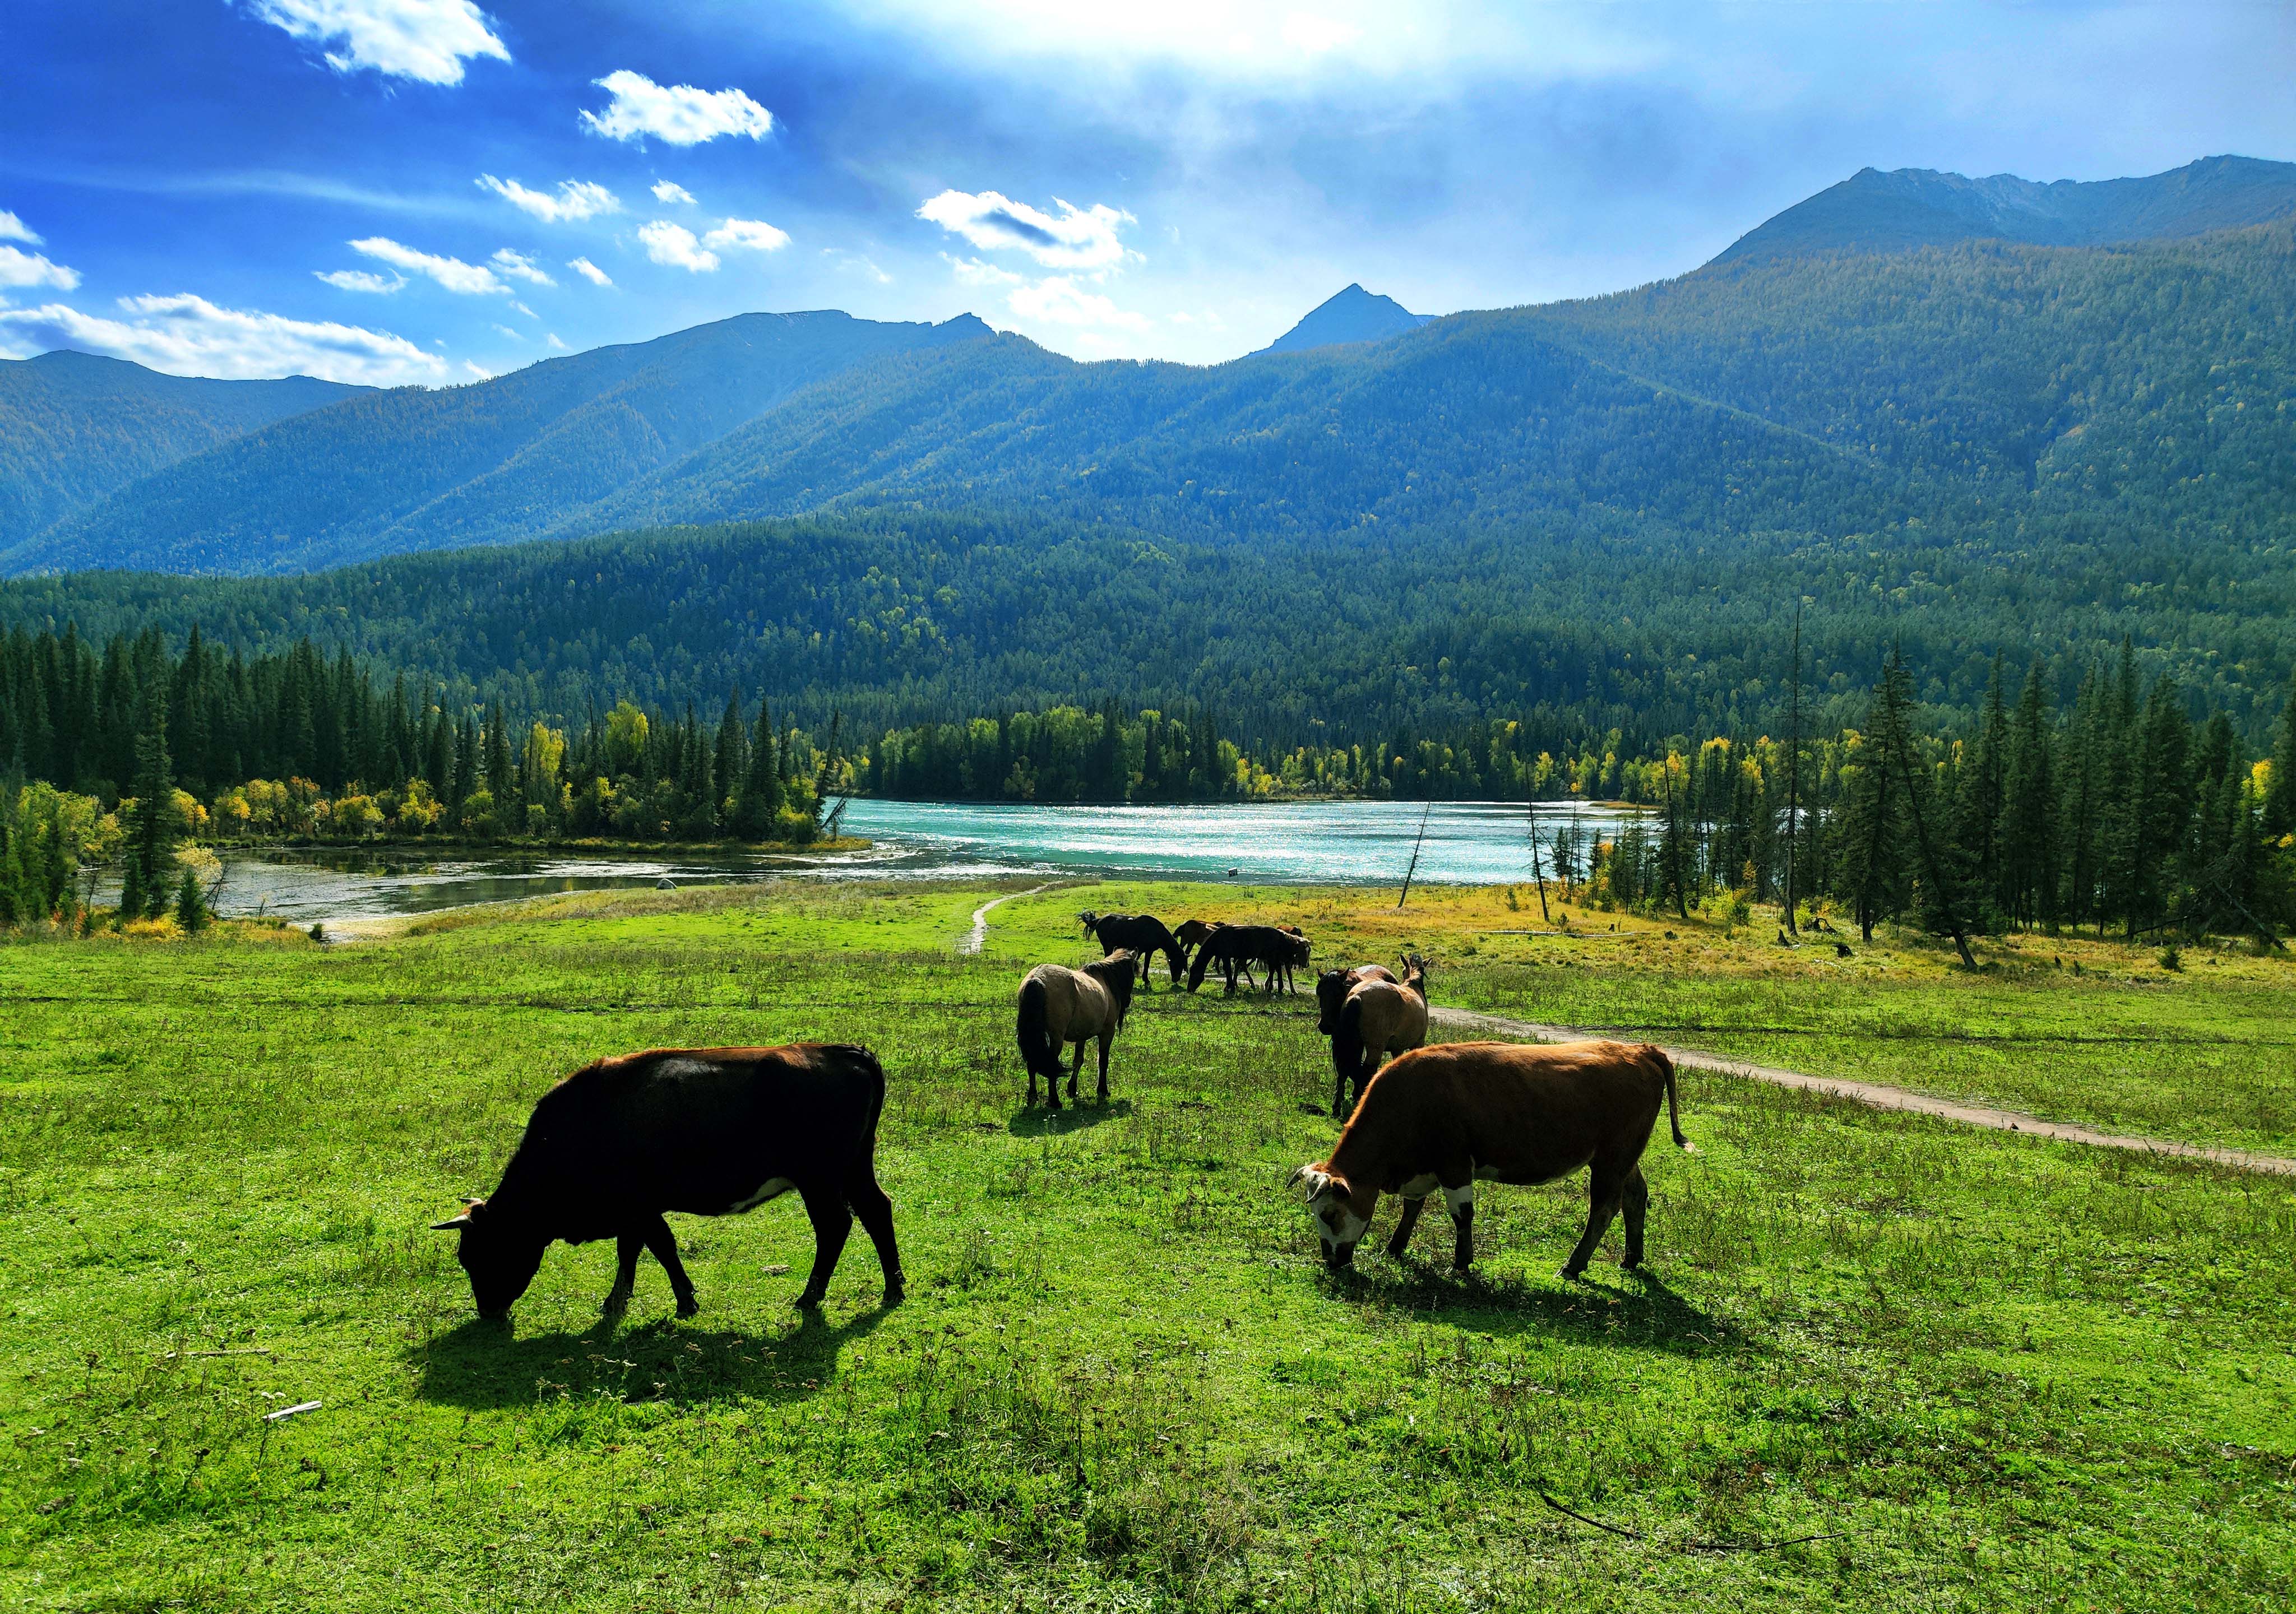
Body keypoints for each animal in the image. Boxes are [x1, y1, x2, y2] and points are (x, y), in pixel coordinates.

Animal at [432, 1047, 904, 1322]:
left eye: (479, 1254)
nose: (488, 1311)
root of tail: (845, 1053)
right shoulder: (633, 1212)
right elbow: (632, 1251)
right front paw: (618, 1301)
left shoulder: (640, 1207)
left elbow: (659, 1248)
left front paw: (684, 1301)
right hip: (855, 1170)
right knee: (877, 1210)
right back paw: (893, 1288)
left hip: (819, 1180)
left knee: (835, 1226)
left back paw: (810, 1296)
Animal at [1019, 945, 1134, 1111]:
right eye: (1133, 973)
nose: (1129, 1000)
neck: (1104, 982)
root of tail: (1037, 978)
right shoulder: (1107, 1033)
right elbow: (1103, 1060)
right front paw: (1103, 1090)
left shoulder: (1082, 1036)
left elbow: (1078, 1061)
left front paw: (1072, 1089)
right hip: (1056, 1038)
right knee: (1051, 1065)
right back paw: (1055, 1101)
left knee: (1033, 1063)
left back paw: (1033, 1095)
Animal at [1074, 913, 1184, 991]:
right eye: (1177, 964)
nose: (1176, 980)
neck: (1156, 932)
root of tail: (1098, 920)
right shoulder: (1145, 951)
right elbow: (1142, 964)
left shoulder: (1146, 951)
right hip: (1107, 946)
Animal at [1295, 1042, 1689, 1286]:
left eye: (1329, 1213)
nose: (1330, 1260)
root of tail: (1639, 1050)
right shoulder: (1423, 1170)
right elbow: (1413, 1208)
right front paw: (1395, 1248)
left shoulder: (1455, 1164)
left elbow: (1462, 1216)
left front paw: (1461, 1263)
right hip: (1624, 1158)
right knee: (1636, 1197)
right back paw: (1631, 1258)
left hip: (1612, 1158)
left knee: (1605, 1208)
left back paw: (1573, 1266)